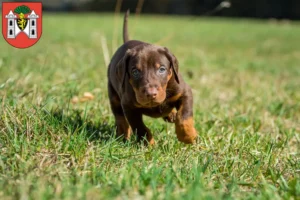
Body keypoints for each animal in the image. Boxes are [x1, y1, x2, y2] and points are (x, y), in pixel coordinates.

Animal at [107, 10, 197, 145]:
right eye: (135, 71)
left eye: (162, 69)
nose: (150, 94)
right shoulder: (128, 105)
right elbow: (139, 127)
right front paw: (148, 143)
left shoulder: (184, 92)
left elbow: (184, 116)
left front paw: (188, 136)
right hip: (113, 95)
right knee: (119, 117)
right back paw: (122, 135)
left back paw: (171, 114)